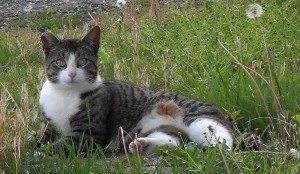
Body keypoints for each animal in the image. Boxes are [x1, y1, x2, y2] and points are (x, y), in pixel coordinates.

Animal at [32, 25, 234, 155]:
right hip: (148, 129)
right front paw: (33, 146)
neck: (65, 94)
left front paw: (39, 155)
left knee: (222, 138)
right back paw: (142, 145)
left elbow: (62, 145)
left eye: (82, 61)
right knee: (175, 141)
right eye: (60, 62)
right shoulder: (48, 126)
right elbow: (38, 139)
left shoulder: (88, 134)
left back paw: (219, 151)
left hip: (195, 115)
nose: (72, 73)